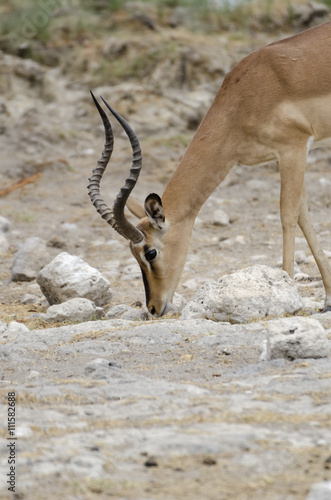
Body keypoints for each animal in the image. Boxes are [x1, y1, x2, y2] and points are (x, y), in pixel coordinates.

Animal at [88, 20, 331, 316]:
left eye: (150, 252)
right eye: (132, 253)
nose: (154, 308)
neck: (247, 95)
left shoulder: (293, 149)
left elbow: (287, 215)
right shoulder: (289, 156)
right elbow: (303, 216)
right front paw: (328, 300)